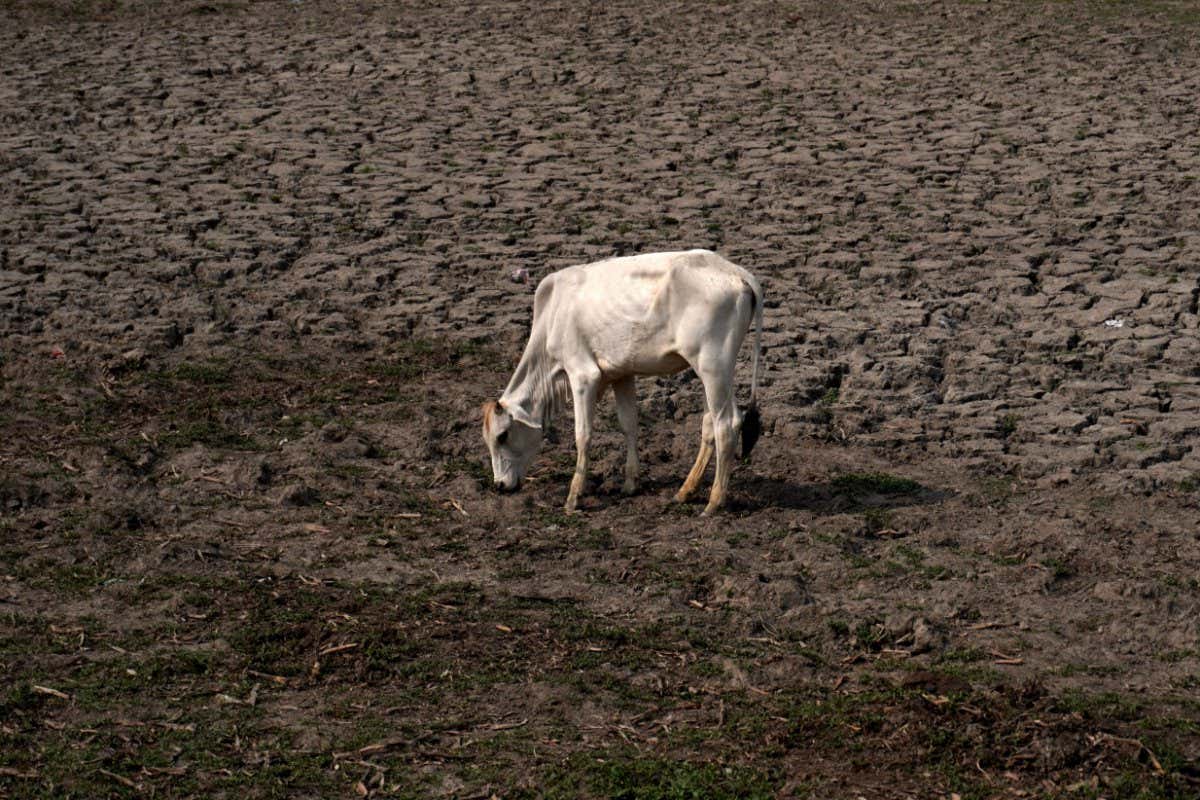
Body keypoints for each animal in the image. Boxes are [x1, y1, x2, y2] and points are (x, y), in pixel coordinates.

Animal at [481, 249, 763, 516]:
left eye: (502, 436)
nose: (500, 485)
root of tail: (736, 271)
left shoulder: (583, 375)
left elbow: (583, 434)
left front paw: (573, 497)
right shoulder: (621, 373)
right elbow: (629, 424)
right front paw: (630, 484)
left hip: (712, 366)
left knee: (727, 424)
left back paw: (714, 502)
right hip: (713, 372)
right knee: (710, 423)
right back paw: (685, 491)